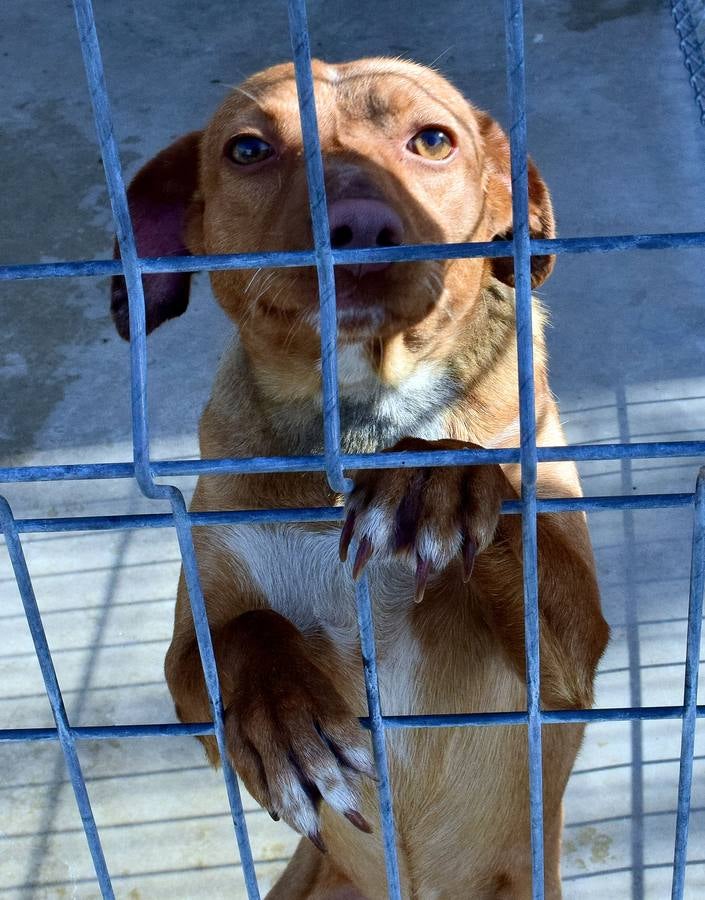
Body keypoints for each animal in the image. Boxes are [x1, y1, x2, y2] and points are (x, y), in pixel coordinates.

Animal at [110, 59, 604, 896]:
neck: (364, 416)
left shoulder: (562, 678)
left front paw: (429, 477)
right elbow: (243, 631)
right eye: (248, 149)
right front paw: (288, 722)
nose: (360, 226)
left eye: (432, 140)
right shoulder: (192, 678)